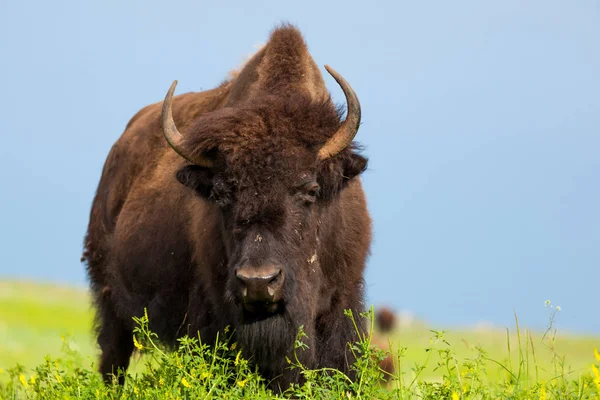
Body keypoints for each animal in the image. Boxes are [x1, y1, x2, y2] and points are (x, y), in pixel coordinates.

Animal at [83, 25, 376, 390]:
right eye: (222, 194)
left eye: (310, 190)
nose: (259, 282)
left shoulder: (341, 305)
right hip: (112, 308)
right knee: (114, 360)